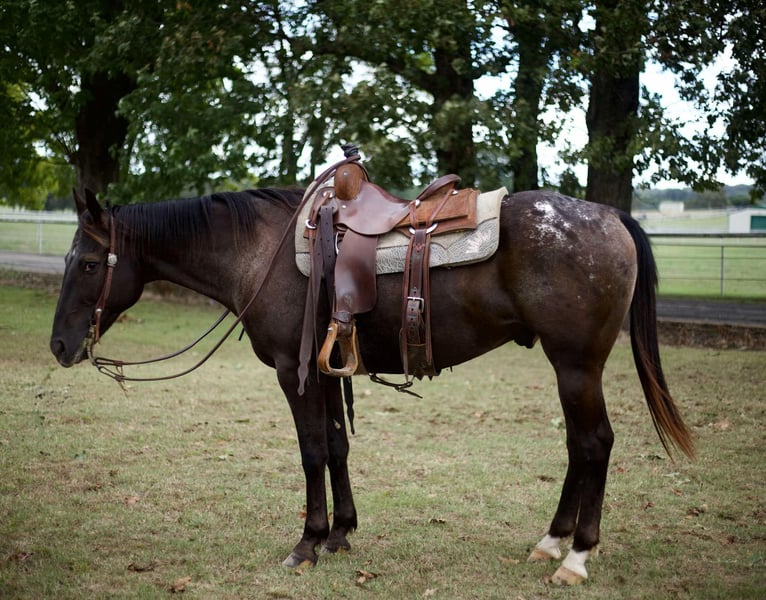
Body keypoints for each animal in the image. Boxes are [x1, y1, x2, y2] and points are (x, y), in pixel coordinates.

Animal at [50, 185, 694, 585]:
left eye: (89, 263)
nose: (58, 346)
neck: (260, 251)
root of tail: (608, 216)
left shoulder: (293, 372)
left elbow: (312, 452)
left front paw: (307, 543)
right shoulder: (329, 371)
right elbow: (338, 447)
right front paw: (341, 534)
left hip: (577, 365)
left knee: (594, 444)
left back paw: (576, 557)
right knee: (577, 448)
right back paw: (552, 541)